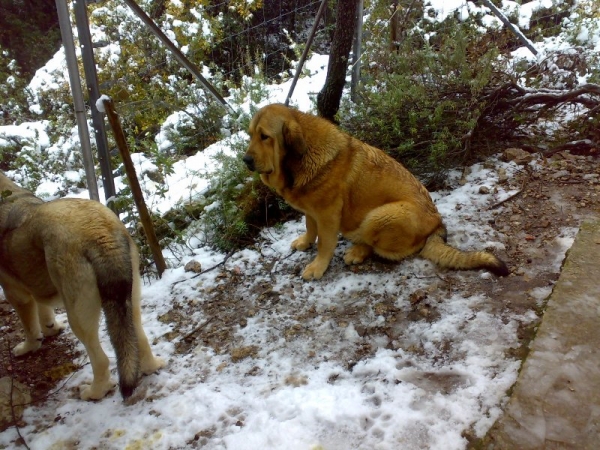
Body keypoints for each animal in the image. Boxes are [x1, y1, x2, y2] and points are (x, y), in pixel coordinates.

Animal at [0, 171, 164, 400]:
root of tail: (99, 232)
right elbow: (44, 310)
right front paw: (51, 329)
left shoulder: (16, 294)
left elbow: (30, 328)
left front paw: (28, 347)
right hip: (129, 302)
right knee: (139, 341)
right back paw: (152, 365)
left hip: (78, 318)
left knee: (100, 360)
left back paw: (94, 392)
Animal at [241, 106, 508, 282]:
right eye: (250, 135)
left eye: (265, 136)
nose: (245, 160)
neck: (301, 158)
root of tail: (437, 226)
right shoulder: (311, 210)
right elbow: (310, 227)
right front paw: (305, 242)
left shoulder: (327, 215)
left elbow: (325, 244)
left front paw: (318, 267)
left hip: (380, 215)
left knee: (384, 248)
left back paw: (358, 251)